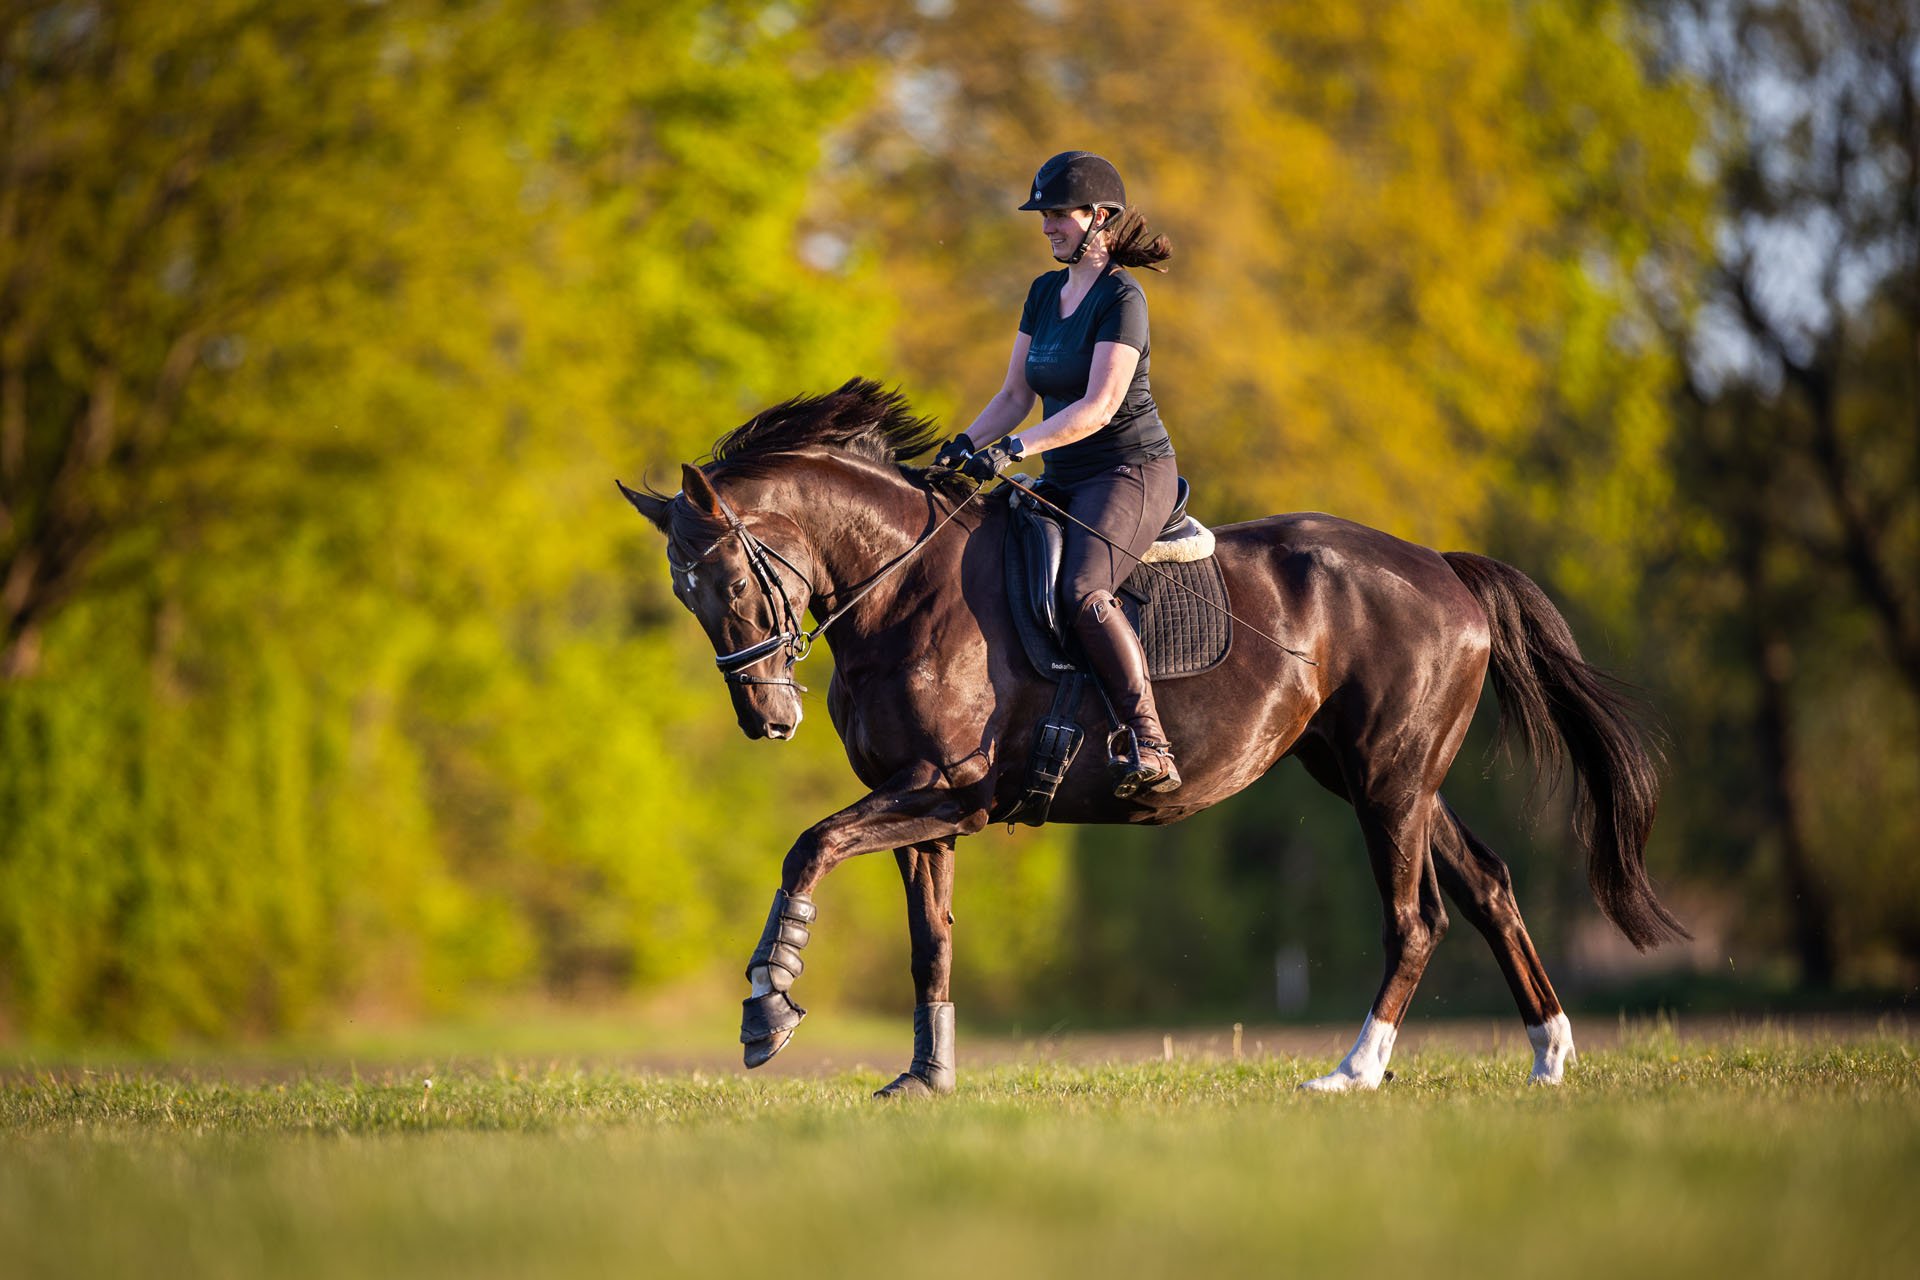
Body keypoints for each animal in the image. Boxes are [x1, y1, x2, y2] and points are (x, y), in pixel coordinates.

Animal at [617, 378, 1685, 1096]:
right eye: (686, 597)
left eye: (732, 580)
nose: (769, 718)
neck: (902, 588)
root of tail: (1442, 567)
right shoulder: (925, 809)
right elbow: (931, 943)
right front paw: (926, 1078)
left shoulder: (953, 790)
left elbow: (810, 846)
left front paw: (768, 1005)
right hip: (1383, 777)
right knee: (1489, 886)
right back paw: (1550, 1056)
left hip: (1387, 782)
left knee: (1417, 918)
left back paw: (1353, 1071)